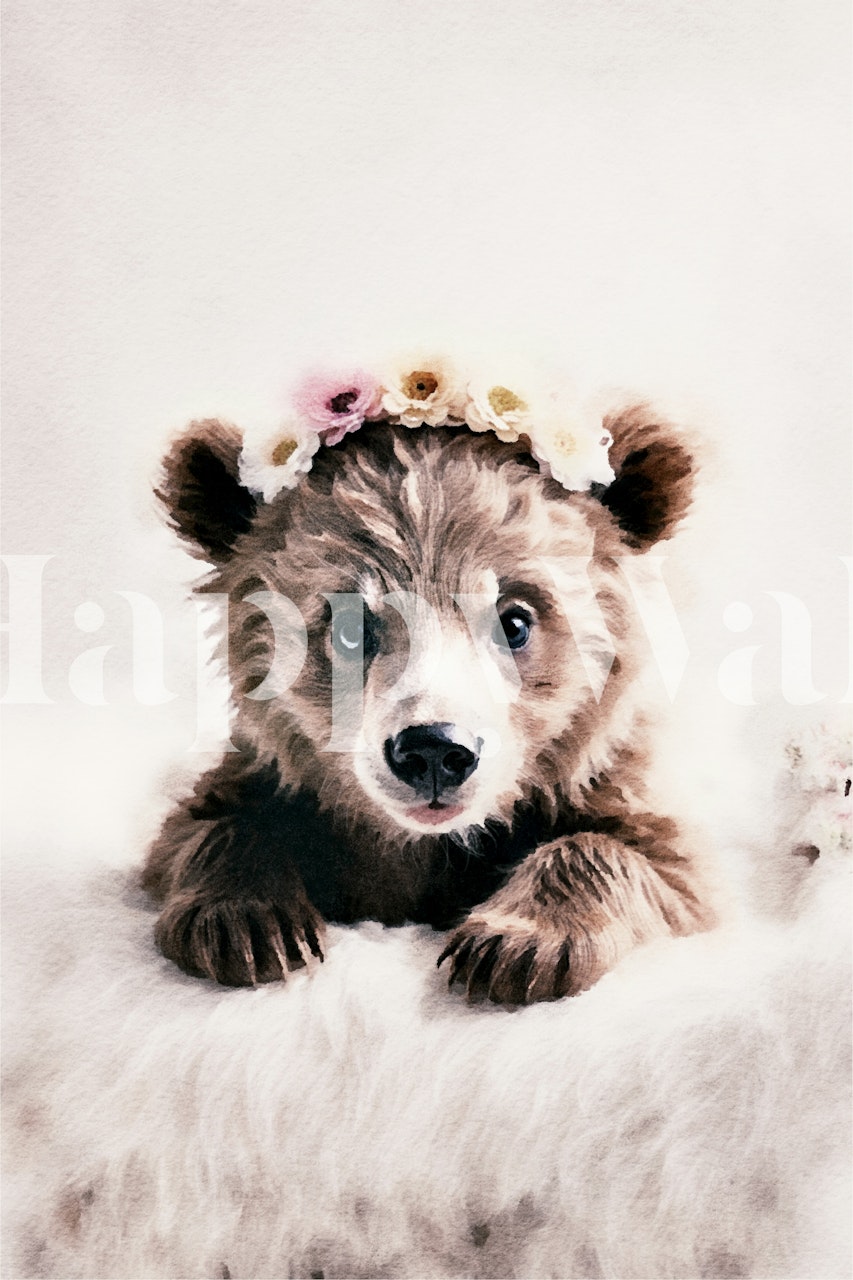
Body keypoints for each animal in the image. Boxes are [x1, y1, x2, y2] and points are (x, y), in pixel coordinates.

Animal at [142, 394, 716, 1004]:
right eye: (349, 624)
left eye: (514, 620)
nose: (434, 749)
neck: (428, 844)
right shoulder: (279, 783)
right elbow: (205, 827)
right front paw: (247, 926)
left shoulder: (610, 783)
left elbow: (642, 855)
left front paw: (513, 947)